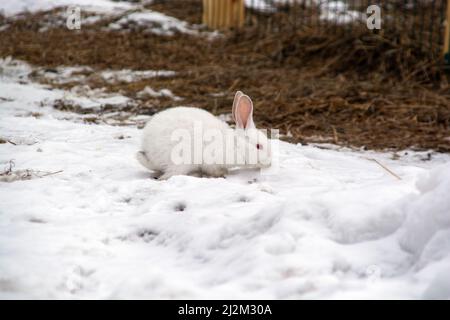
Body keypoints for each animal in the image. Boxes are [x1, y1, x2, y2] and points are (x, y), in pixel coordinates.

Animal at [136, 90, 270, 180]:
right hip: (181, 161)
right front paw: (221, 174)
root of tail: (148, 151)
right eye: (258, 146)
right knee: (169, 175)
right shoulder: (211, 160)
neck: (235, 145)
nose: (270, 163)